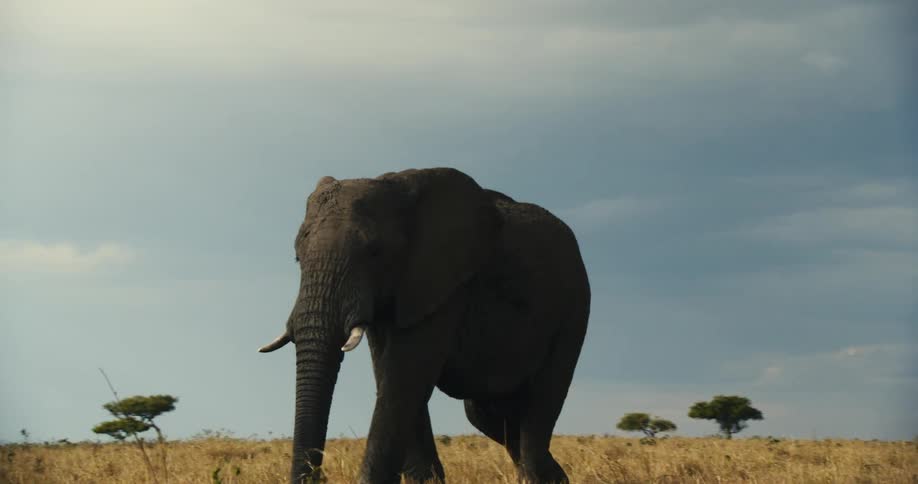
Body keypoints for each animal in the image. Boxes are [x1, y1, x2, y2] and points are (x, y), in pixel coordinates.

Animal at [259, 168, 590, 483]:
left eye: (374, 251)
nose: (315, 474)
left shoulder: (444, 282)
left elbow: (405, 374)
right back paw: (555, 476)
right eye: (297, 257)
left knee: (541, 401)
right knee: (488, 415)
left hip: (573, 309)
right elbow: (391, 373)